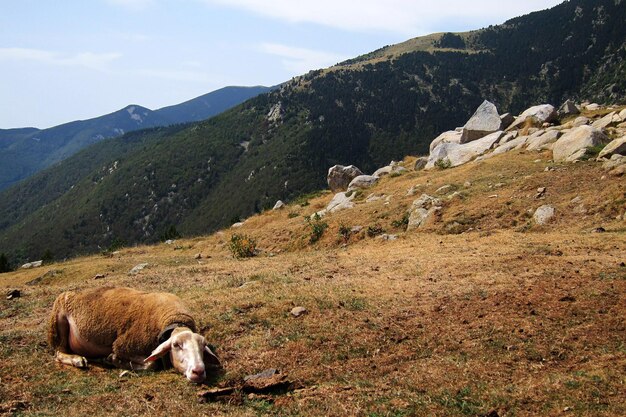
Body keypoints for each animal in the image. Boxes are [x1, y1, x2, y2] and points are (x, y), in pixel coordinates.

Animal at [48, 286, 219, 380]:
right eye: (176, 345)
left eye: (203, 346)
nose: (198, 371)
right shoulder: (123, 345)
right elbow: (151, 364)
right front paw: (113, 359)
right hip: (58, 321)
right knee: (59, 352)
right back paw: (77, 360)